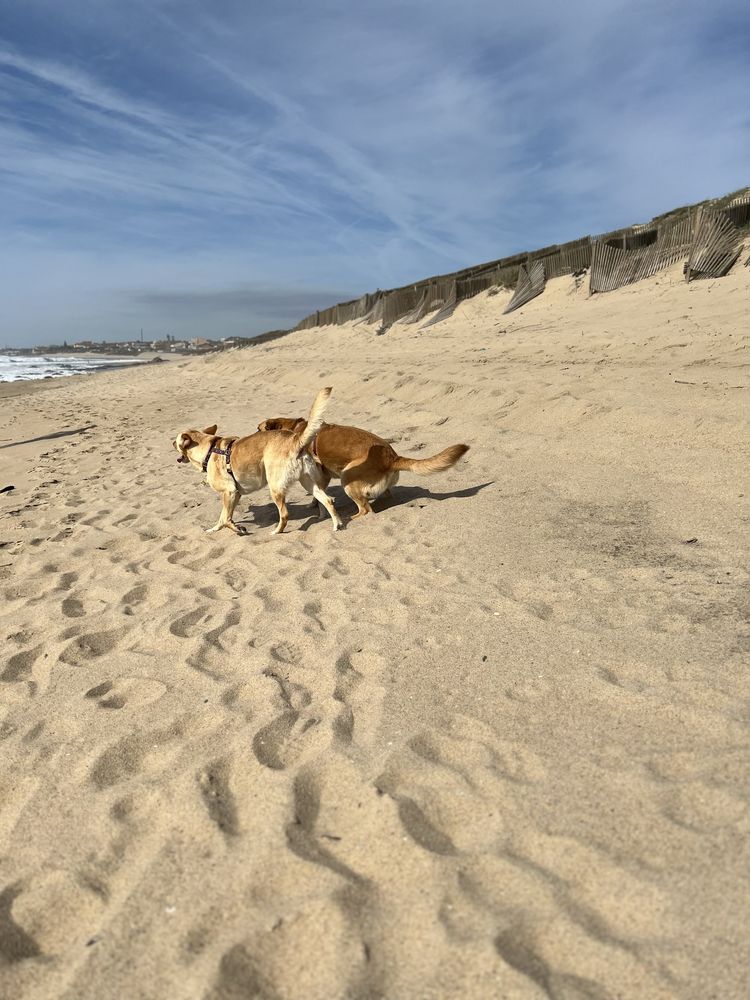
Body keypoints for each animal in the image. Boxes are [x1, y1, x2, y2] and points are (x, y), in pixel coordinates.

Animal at [173, 386, 340, 536]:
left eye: (176, 440)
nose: (172, 443)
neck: (209, 449)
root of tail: (296, 440)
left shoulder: (229, 492)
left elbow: (226, 519)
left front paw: (238, 529)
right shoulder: (235, 494)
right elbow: (223, 517)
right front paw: (215, 529)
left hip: (275, 487)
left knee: (285, 514)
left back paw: (277, 531)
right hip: (308, 482)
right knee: (327, 500)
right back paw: (336, 523)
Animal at [258, 416, 470, 520]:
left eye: (258, 429)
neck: (294, 428)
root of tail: (392, 458)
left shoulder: (320, 475)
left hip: (347, 479)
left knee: (366, 510)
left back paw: (353, 516)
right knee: (384, 497)